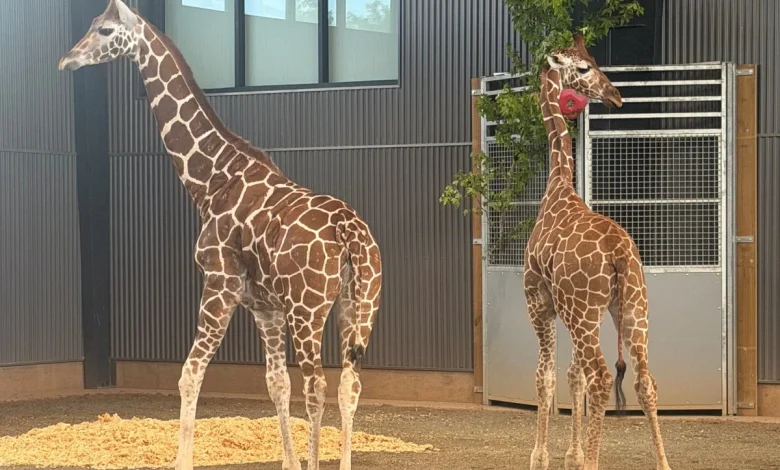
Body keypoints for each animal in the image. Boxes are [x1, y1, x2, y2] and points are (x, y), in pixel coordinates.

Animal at [57, 1, 382, 469]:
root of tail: (349, 230)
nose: (67, 60)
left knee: (317, 386)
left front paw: (183, 461)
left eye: (103, 30)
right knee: (348, 385)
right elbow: (275, 384)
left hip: (309, 309)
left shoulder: (220, 283)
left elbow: (190, 374)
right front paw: (288, 461)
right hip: (357, 304)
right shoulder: (265, 307)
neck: (212, 180)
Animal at [523, 34, 672, 470]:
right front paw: (571, 455)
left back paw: (593, 460)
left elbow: (547, 376)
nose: (616, 95)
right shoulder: (565, 311)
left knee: (603, 376)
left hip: (585, 311)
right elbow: (572, 376)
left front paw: (542, 456)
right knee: (643, 379)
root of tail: (619, 253)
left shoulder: (539, 302)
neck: (557, 187)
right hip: (632, 307)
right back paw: (662, 462)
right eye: (585, 67)